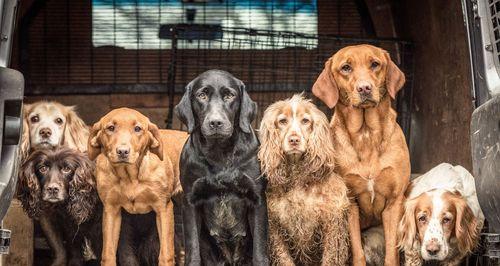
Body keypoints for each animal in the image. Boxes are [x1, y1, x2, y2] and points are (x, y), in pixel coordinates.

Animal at [88, 108, 188, 266]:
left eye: (137, 129)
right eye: (111, 128)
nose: (123, 151)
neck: (130, 177)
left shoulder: (163, 209)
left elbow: (165, 254)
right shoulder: (111, 211)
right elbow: (108, 254)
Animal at [312, 44, 410, 264]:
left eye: (375, 64)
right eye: (346, 68)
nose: (364, 88)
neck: (366, 134)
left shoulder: (394, 203)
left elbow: (391, 253)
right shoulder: (350, 203)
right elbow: (358, 252)